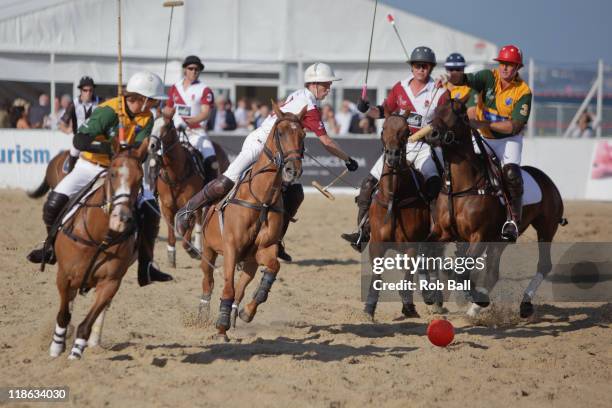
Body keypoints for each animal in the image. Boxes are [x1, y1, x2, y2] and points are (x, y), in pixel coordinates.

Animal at [47, 142, 148, 358]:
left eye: (140, 178)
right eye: (112, 174)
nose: (121, 219)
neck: (99, 237)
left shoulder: (110, 282)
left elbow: (87, 322)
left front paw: (76, 354)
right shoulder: (64, 276)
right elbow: (63, 314)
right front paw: (56, 348)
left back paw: (94, 343)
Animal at [151, 122, 230, 266]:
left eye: (167, 125)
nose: (152, 145)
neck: (175, 175)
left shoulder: (190, 206)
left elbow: (187, 234)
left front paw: (192, 250)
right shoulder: (166, 207)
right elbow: (171, 230)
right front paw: (171, 253)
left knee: (200, 221)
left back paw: (198, 248)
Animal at [196, 103, 306, 340]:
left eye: (303, 135)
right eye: (280, 132)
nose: (293, 170)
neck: (261, 199)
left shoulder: (264, 249)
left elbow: (272, 268)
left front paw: (247, 312)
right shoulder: (230, 247)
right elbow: (227, 286)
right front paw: (221, 327)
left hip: (249, 261)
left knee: (241, 286)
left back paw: (234, 313)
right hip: (208, 249)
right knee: (208, 281)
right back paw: (202, 313)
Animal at [364, 111, 430, 318]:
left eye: (406, 130)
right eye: (383, 128)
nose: (392, 156)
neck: (394, 196)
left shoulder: (412, 245)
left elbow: (409, 274)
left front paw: (408, 306)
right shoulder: (376, 244)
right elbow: (377, 275)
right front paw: (369, 307)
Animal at [414, 99, 568, 318]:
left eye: (459, 112)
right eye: (437, 110)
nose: (431, 134)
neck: (461, 187)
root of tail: (547, 180)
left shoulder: (479, 235)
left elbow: (462, 270)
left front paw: (474, 297)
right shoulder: (442, 232)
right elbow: (424, 253)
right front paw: (430, 294)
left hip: (546, 228)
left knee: (544, 264)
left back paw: (523, 304)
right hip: (500, 239)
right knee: (493, 271)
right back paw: (474, 310)